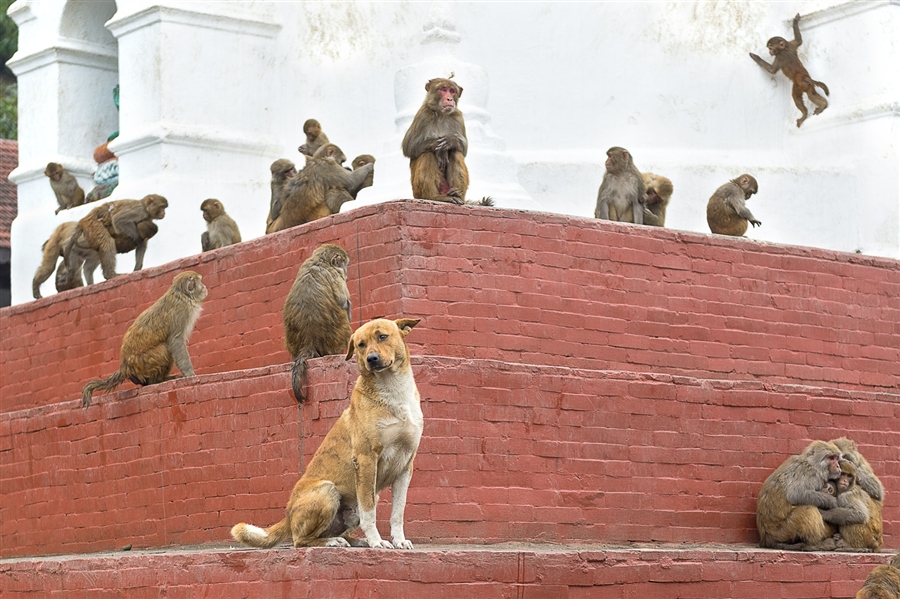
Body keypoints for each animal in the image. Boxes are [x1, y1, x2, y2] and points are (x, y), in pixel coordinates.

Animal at [80, 270, 207, 408]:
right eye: (200, 281)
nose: (205, 287)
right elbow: (176, 341)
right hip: (144, 364)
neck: (182, 295)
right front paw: (190, 375)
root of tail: (125, 367)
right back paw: (157, 381)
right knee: (164, 348)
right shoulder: (182, 312)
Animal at [232, 318, 422, 548]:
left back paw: (355, 541)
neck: (393, 390)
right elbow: (370, 513)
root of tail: (287, 515)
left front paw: (399, 541)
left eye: (382, 336)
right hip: (327, 490)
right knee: (300, 540)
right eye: (360, 345)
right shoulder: (366, 459)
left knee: (339, 532)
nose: (372, 359)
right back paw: (333, 542)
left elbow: (398, 512)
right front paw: (377, 542)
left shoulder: (405, 466)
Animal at [282, 244, 352, 404]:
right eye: (344, 265)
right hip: (336, 339)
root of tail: (310, 343)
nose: (346, 273)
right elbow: (344, 303)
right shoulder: (336, 276)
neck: (321, 261)